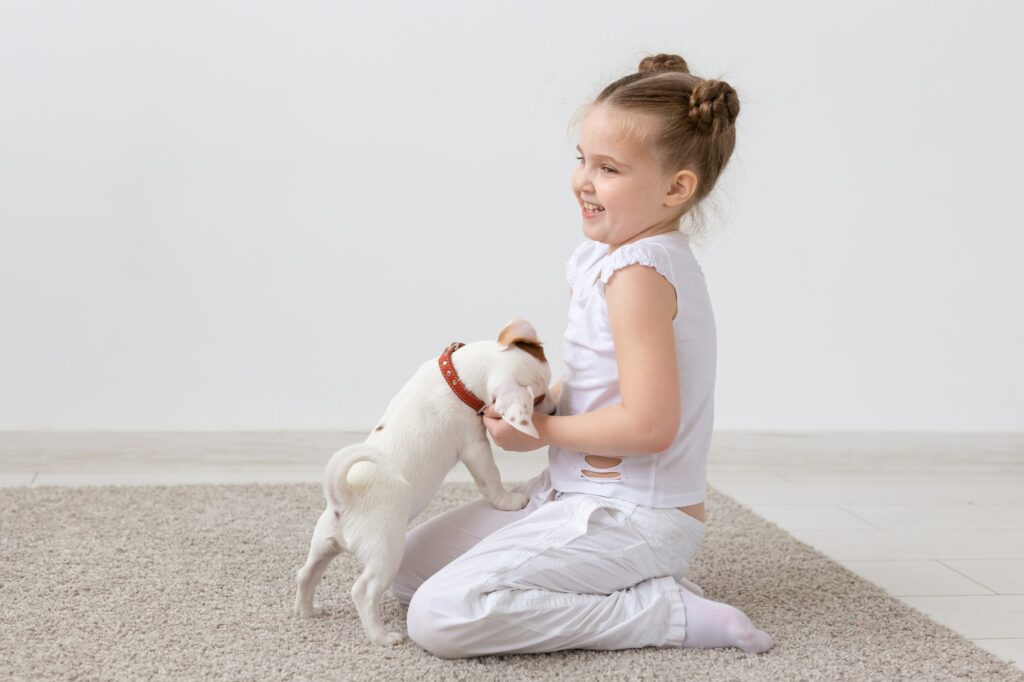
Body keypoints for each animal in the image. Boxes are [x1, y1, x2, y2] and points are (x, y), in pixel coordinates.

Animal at [292, 315, 557, 647]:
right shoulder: (475, 447)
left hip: (323, 544)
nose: (555, 410)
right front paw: (508, 501)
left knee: (306, 573)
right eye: (538, 398)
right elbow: (491, 479)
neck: (457, 380)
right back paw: (382, 637)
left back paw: (307, 611)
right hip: (385, 553)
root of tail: (344, 497)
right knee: (363, 591)